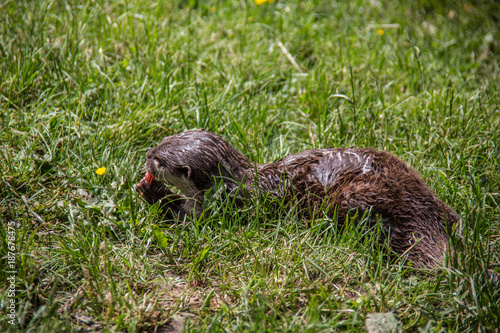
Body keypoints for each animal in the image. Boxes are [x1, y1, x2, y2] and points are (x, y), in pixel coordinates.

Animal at [136, 128, 458, 266]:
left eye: (160, 160)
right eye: (162, 141)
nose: (147, 155)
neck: (237, 182)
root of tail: (419, 210)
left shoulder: (225, 205)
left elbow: (188, 219)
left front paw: (152, 191)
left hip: (355, 199)